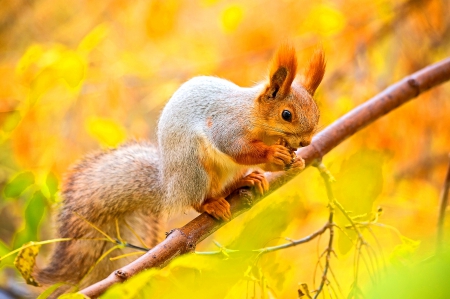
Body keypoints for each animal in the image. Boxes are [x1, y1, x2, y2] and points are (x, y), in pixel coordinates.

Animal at [33, 44, 326, 292]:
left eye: (317, 112)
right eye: (286, 114)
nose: (306, 142)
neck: (259, 121)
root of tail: (170, 187)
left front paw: (296, 161)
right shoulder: (227, 126)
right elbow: (236, 148)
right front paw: (274, 154)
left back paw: (247, 181)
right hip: (194, 168)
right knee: (195, 200)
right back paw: (211, 204)